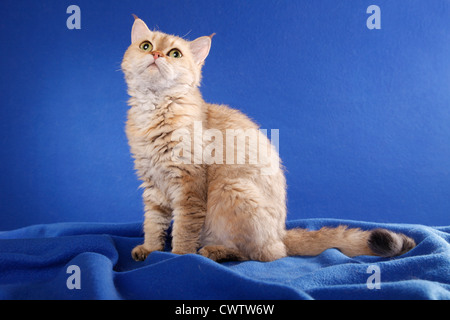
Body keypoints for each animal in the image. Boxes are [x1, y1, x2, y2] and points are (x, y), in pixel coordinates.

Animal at [120, 15, 414, 262]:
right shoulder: (152, 186)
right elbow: (153, 224)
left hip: (232, 189)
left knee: (263, 254)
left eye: (175, 54)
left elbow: (183, 229)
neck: (155, 110)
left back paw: (216, 252)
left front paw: (179, 257)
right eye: (146, 46)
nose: (156, 54)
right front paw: (151, 250)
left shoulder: (189, 187)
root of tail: (280, 233)